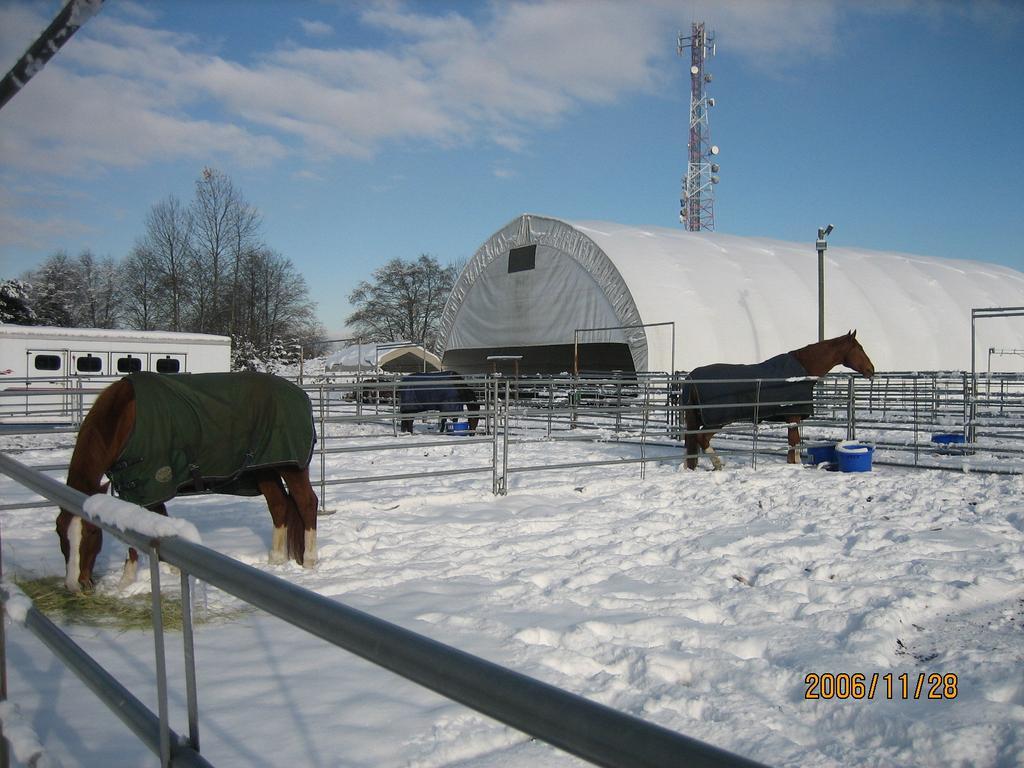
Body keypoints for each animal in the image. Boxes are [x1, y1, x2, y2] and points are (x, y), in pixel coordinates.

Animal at [684, 331, 876, 468]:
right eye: (859, 348)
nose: (871, 370)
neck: (802, 371)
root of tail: (692, 377)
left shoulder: (791, 417)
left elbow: (792, 443)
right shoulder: (794, 416)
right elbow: (795, 442)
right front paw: (798, 464)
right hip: (717, 420)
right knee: (702, 438)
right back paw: (718, 464)